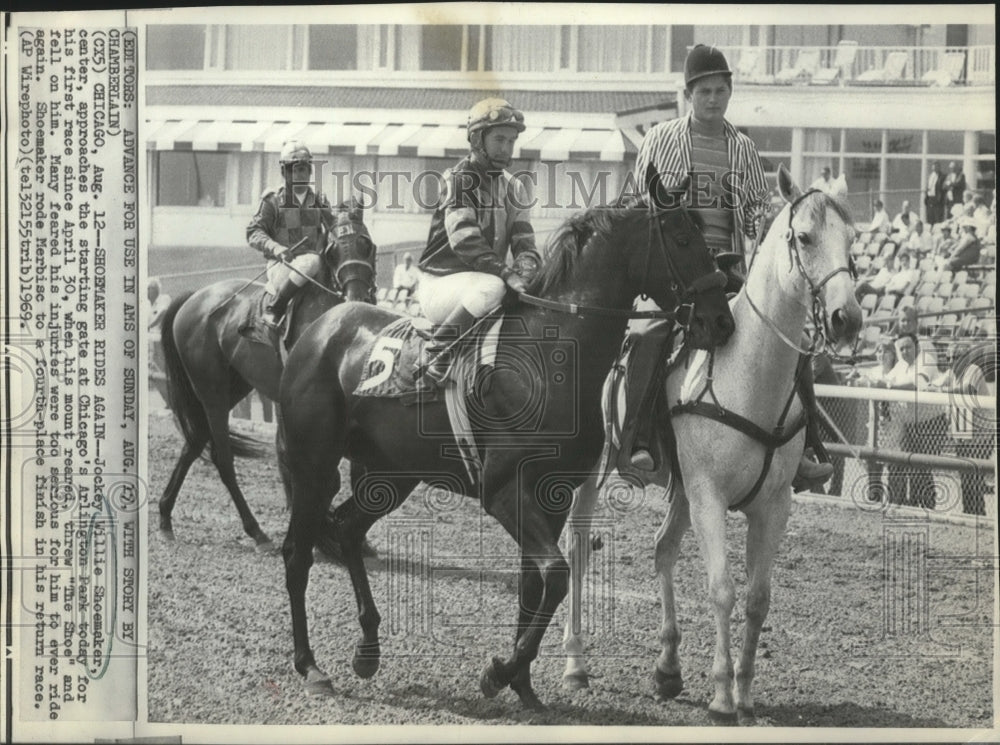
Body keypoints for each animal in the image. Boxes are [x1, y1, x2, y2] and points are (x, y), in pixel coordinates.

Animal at [156, 201, 376, 548]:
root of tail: (194, 297)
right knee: (221, 457)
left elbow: (355, 472)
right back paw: (255, 530)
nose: (356, 297)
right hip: (211, 390)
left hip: (236, 385)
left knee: (192, 443)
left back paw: (165, 517)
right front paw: (320, 532)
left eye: (365, 244)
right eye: (332, 250)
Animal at [278, 170, 740, 708]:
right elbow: (556, 576)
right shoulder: (502, 492)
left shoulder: (552, 496)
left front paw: (520, 681)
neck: (551, 355)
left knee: (348, 530)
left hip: (389, 477)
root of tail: (320, 327)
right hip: (314, 467)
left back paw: (367, 651)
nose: (721, 321)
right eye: (683, 238)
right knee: (297, 554)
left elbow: (533, 585)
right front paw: (501, 671)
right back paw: (309, 665)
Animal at [560, 166, 864, 724]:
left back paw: (667, 668)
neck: (749, 374)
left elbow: (758, 598)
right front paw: (722, 696)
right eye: (804, 237)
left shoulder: (773, 504)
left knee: (662, 550)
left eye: (852, 239)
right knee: (577, 547)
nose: (845, 318)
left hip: (681, 489)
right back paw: (575, 664)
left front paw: (744, 692)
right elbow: (722, 589)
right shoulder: (708, 496)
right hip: (596, 472)